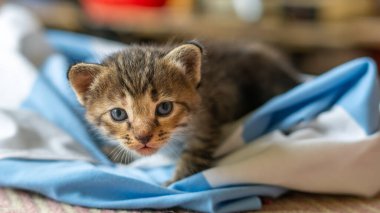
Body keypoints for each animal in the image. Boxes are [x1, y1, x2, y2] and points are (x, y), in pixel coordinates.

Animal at [68, 40, 300, 185]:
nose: (143, 137)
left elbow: (194, 154)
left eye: (164, 108)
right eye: (118, 114)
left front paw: (176, 181)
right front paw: (116, 154)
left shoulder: (206, 122)